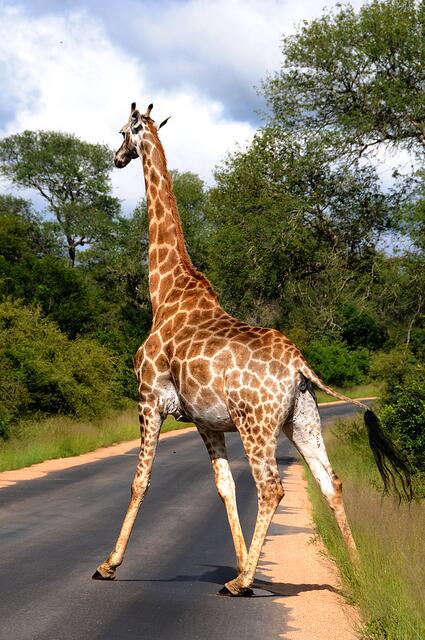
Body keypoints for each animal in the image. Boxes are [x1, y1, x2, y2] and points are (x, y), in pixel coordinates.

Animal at [92, 102, 412, 596]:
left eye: (124, 130)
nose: (116, 157)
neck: (165, 292)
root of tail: (299, 364)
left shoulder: (149, 399)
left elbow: (140, 481)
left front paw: (109, 564)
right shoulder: (207, 421)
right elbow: (223, 486)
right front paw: (244, 560)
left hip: (256, 422)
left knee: (271, 487)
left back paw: (240, 585)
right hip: (301, 418)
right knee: (330, 480)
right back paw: (357, 576)